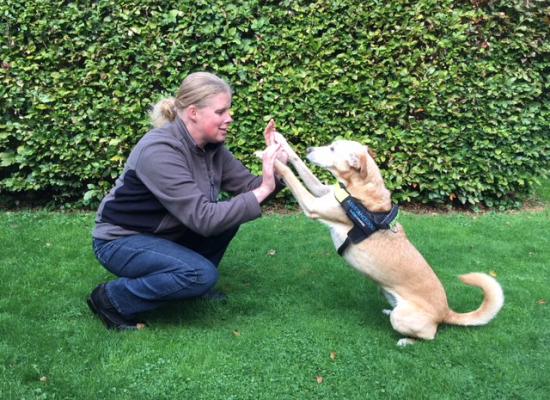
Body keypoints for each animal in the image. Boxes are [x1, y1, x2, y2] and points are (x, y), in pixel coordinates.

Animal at [266, 120, 506, 346]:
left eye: (333, 148)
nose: (308, 148)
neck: (359, 188)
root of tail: (446, 312)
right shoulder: (322, 191)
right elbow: (299, 165)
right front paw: (280, 142)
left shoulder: (313, 205)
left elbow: (290, 174)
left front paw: (268, 158)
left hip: (405, 319)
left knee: (430, 335)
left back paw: (406, 341)